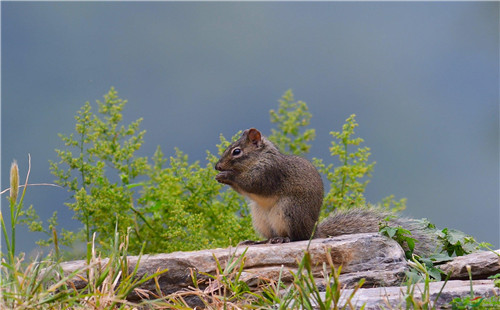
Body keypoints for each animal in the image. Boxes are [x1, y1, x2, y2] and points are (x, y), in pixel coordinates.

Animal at [215, 127, 438, 256]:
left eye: (237, 152)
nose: (217, 166)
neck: (260, 157)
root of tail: (313, 231)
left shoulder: (269, 172)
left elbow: (252, 184)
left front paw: (227, 176)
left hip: (289, 211)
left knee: (297, 237)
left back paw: (283, 239)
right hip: (261, 218)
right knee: (270, 236)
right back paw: (258, 241)